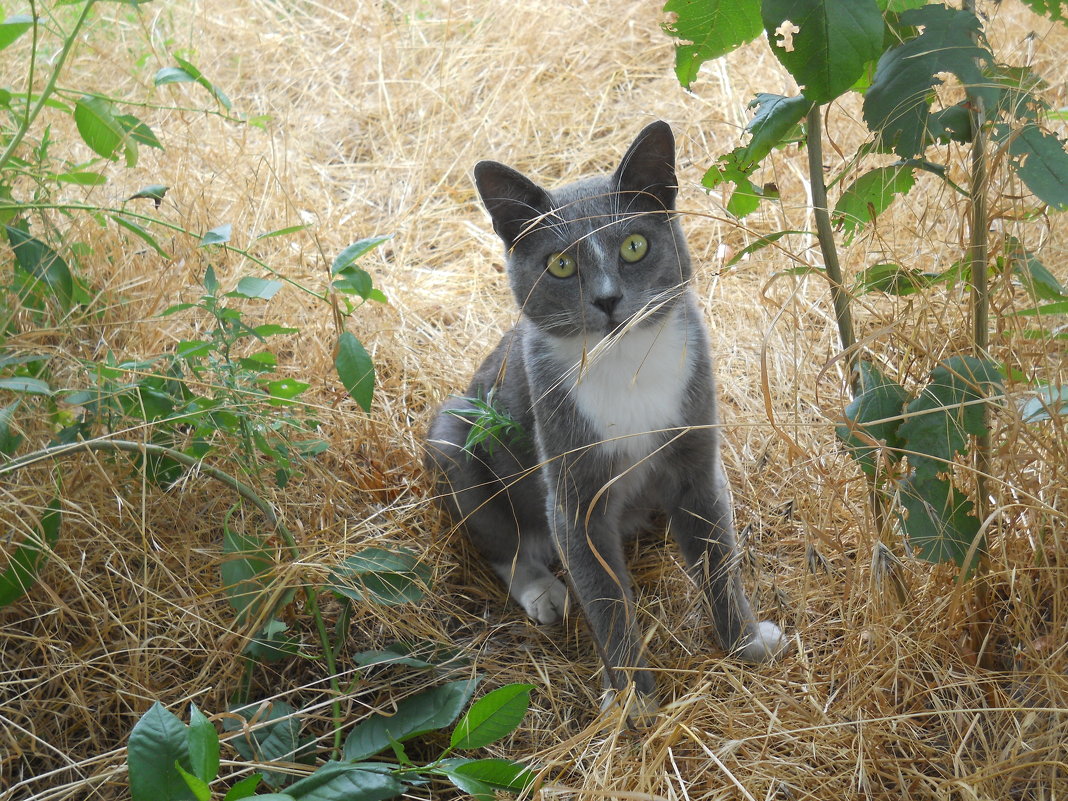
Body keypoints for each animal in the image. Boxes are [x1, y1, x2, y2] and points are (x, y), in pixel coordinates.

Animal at [422, 120, 786, 713]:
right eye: (561, 264)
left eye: (635, 246)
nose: (608, 300)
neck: (625, 364)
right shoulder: (575, 496)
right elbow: (605, 597)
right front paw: (634, 700)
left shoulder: (695, 457)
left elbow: (717, 557)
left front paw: (747, 640)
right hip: (454, 431)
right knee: (500, 539)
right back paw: (542, 589)